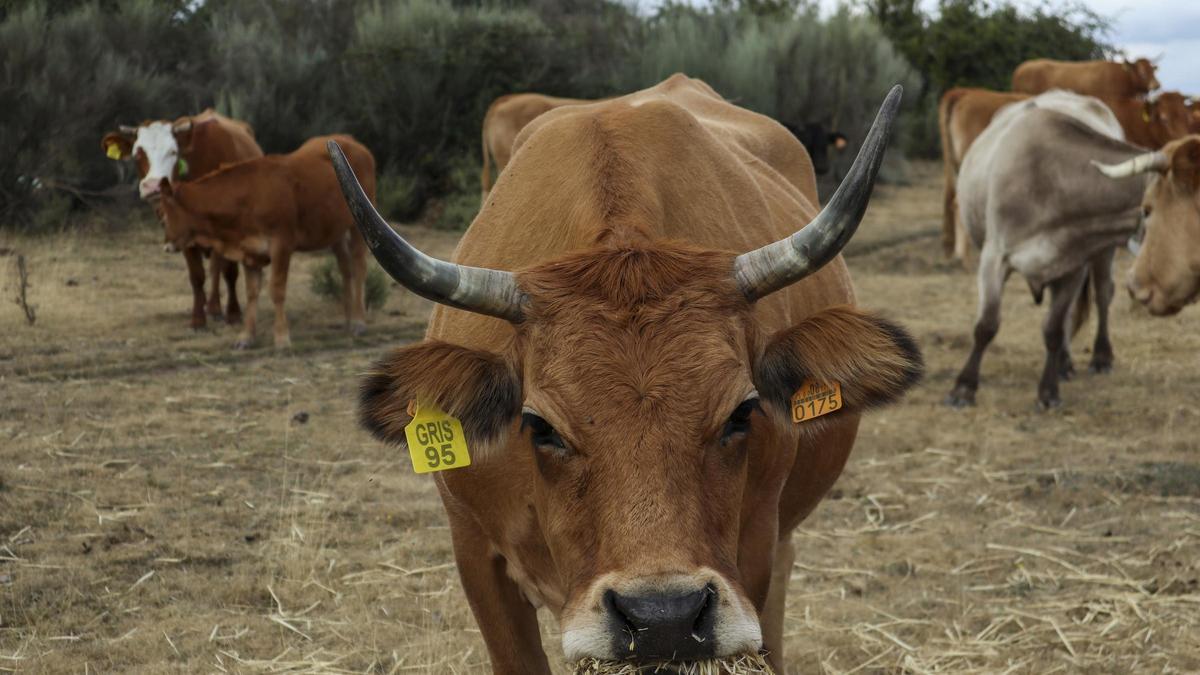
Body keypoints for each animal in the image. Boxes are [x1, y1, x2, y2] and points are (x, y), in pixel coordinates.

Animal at [102, 109, 263, 330]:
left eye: (173, 152)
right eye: (137, 154)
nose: (153, 186)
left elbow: (229, 271)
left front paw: (234, 313)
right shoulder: (183, 233)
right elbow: (197, 276)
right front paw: (198, 319)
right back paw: (211, 306)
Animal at [158, 135, 375, 350]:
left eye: (165, 215)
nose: (167, 245)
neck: (248, 196)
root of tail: (355, 144)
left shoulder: (281, 246)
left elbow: (277, 290)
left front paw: (281, 337)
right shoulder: (249, 253)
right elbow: (251, 292)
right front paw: (246, 336)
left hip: (359, 225)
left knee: (359, 267)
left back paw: (358, 321)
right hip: (335, 232)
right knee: (345, 268)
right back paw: (347, 318)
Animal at [947, 91, 1155, 410]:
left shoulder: (1074, 264)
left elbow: (1055, 328)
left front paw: (1048, 392)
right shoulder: (994, 257)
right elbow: (986, 325)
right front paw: (964, 387)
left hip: (1103, 252)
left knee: (1102, 294)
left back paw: (1099, 356)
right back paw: (1065, 364)